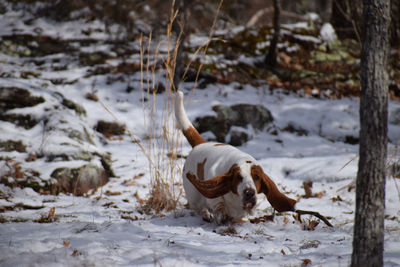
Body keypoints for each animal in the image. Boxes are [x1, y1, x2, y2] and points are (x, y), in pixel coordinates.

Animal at [173, 91, 296, 225]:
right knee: (199, 207)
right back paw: (206, 214)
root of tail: (200, 144)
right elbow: (218, 203)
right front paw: (221, 214)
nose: (249, 193)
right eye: (238, 177)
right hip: (194, 197)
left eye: (256, 177)